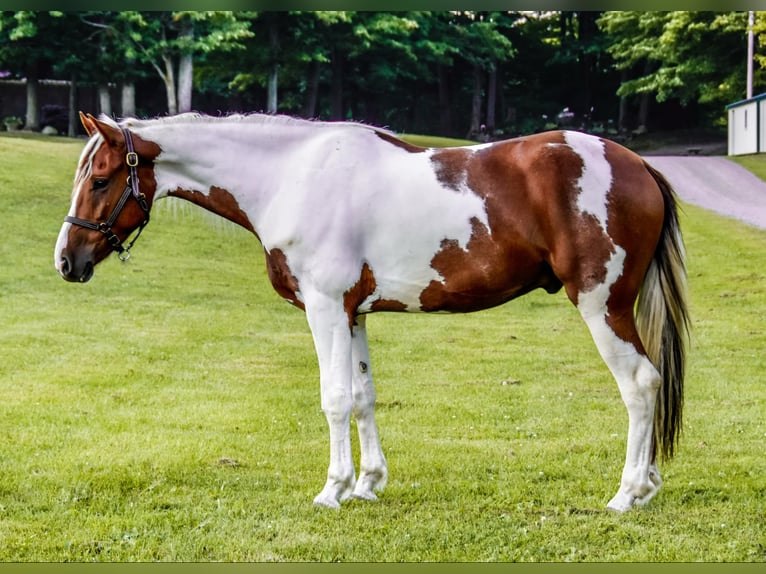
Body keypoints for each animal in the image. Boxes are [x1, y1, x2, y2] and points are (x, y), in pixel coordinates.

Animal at [54, 112, 689, 512]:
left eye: (102, 178)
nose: (67, 260)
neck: (292, 177)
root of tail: (637, 165)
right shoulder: (354, 313)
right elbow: (362, 397)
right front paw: (367, 484)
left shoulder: (324, 308)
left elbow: (334, 399)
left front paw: (332, 490)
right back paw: (649, 485)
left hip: (602, 305)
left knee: (641, 383)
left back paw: (627, 495)